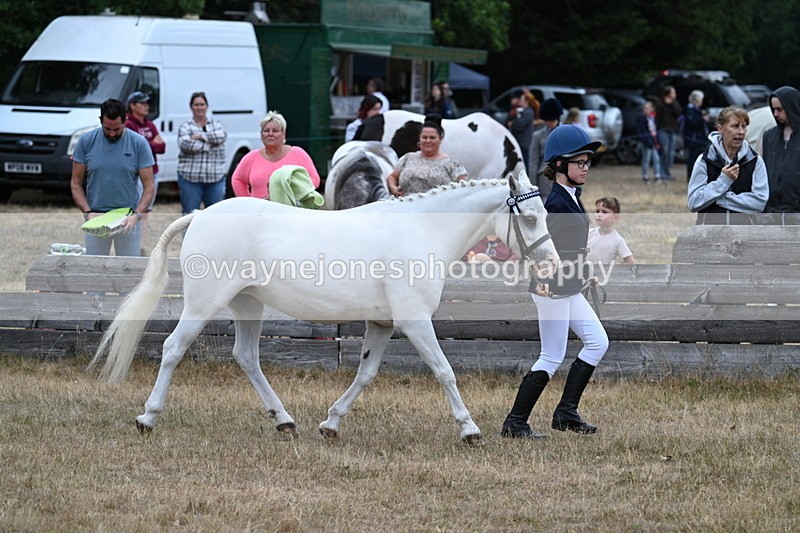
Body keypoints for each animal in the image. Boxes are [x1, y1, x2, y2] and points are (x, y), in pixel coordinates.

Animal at [89, 172, 558, 445]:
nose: (552, 263)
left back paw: (284, 421)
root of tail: (200, 216)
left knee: (247, 356)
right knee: (173, 348)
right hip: (206, 302)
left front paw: (330, 424)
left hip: (248, 304)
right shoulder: (414, 321)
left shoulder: (382, 324)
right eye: (530, 218)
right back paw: (147, 418)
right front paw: (470, 429)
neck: (422, 229)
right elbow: (445, 371)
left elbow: (365, 374)